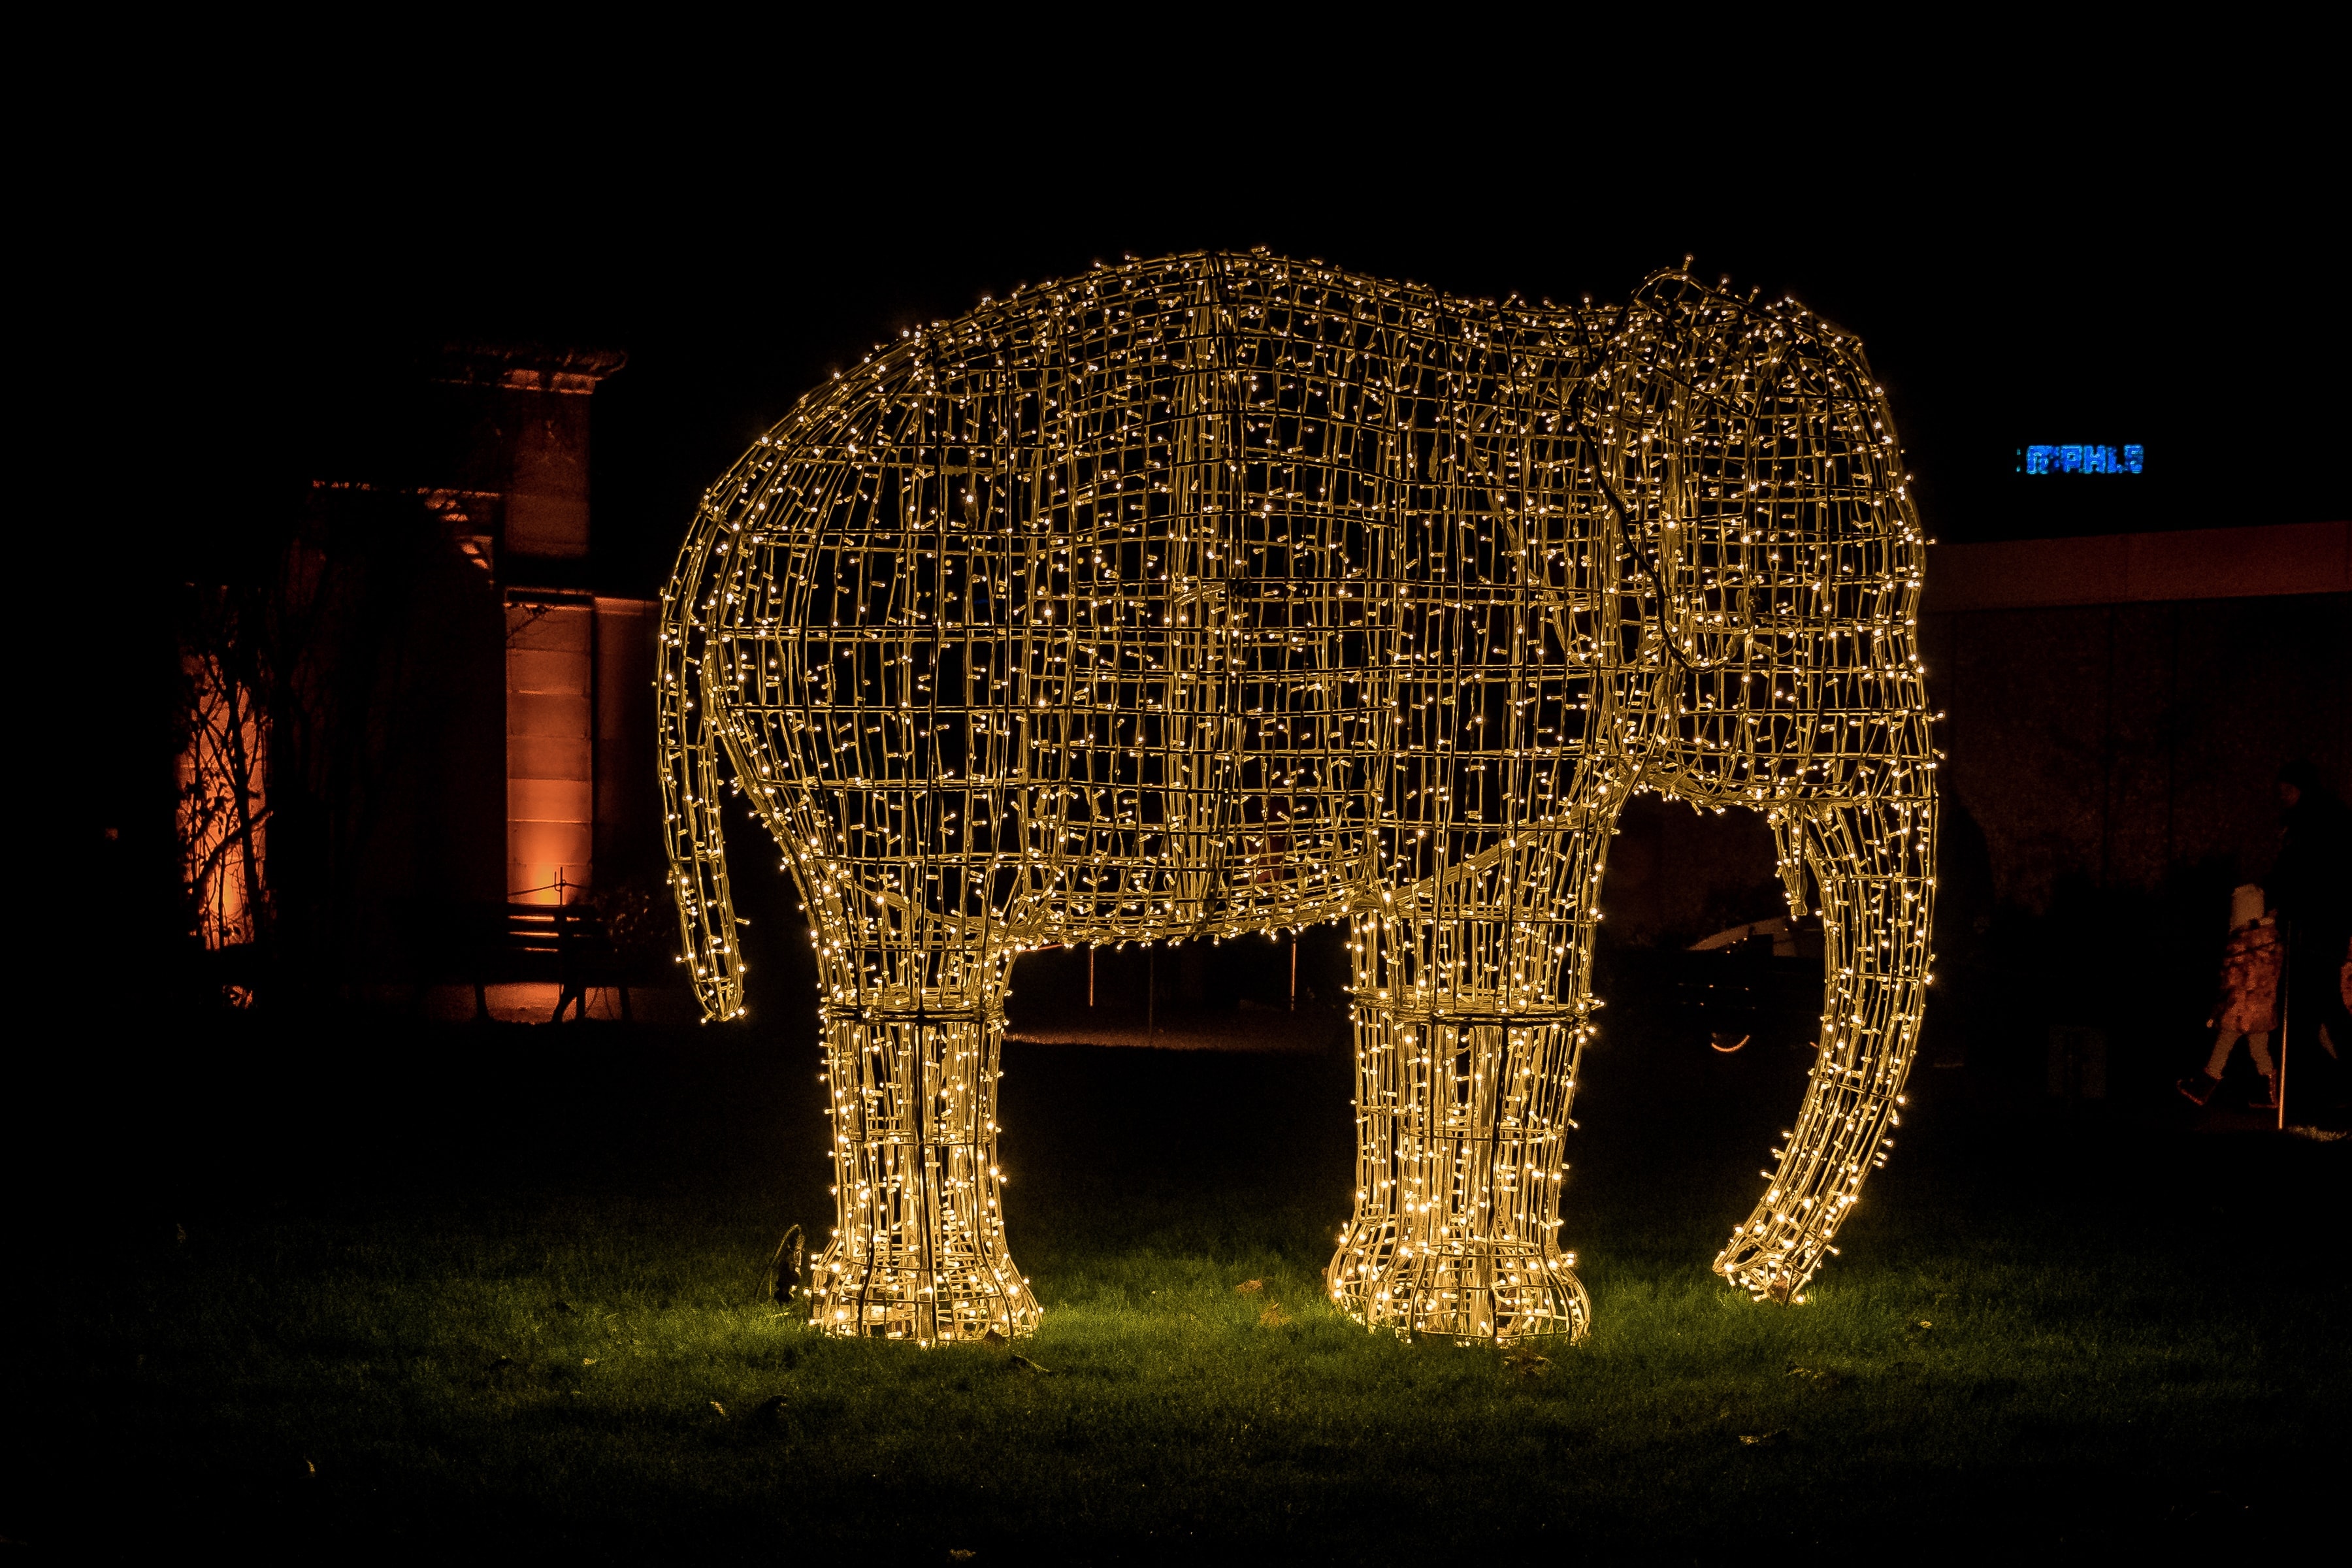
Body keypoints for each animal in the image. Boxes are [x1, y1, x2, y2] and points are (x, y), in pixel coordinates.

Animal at [659, 248, 1929, 1354]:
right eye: (1835, 597)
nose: (1746, 1275)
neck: (1585, 347)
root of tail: (741, 492)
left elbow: (1411, 989)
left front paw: (1389, 1303)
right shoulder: (1521, 703)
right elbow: (1500, 974)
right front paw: (1509, 1326)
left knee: (894, 977)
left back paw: (882, 1310)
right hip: (865, 730)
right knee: (919, 984)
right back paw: (941, 1320)